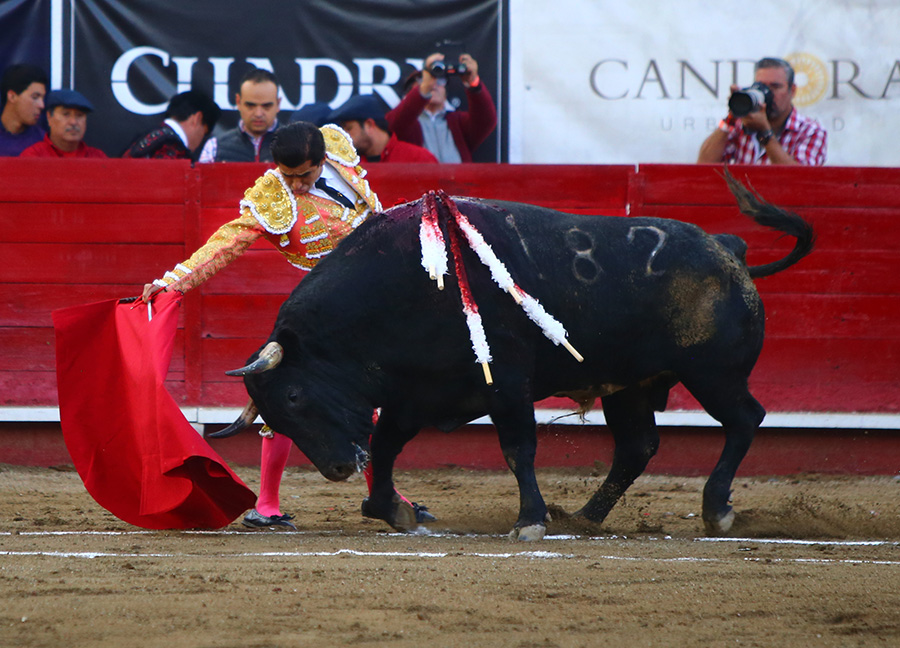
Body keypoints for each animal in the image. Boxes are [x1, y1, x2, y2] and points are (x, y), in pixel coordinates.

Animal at [215, 171, 815, 541]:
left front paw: (529, 521)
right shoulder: (415, 394)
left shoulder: (505, 383)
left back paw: (717, 509)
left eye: (295, 395)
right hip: (631, 384)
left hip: (714, 374)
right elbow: (385, 446)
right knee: (638, 446)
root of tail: (727, 248)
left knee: (745, 419)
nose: (338, 469)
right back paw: (585, 517)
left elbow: (517, 449)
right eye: (276, 415)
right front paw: (393, 509)